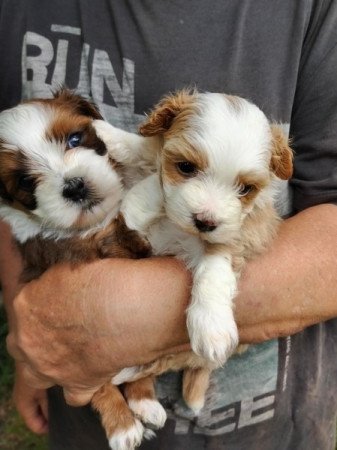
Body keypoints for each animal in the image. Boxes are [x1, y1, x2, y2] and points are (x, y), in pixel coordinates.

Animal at [0, 89, 165, 450]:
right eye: (24, 181)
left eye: (75, 138)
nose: (74, 186)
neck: (98, 224)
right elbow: (95, 381)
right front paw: (121, 424)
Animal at [94, 89, 292, 416]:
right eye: (186, 167)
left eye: (246, 189)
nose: (205, 222)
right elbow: (145, 150)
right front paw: (106, 133)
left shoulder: (241, 236)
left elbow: (215, 266)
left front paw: (211, 325)